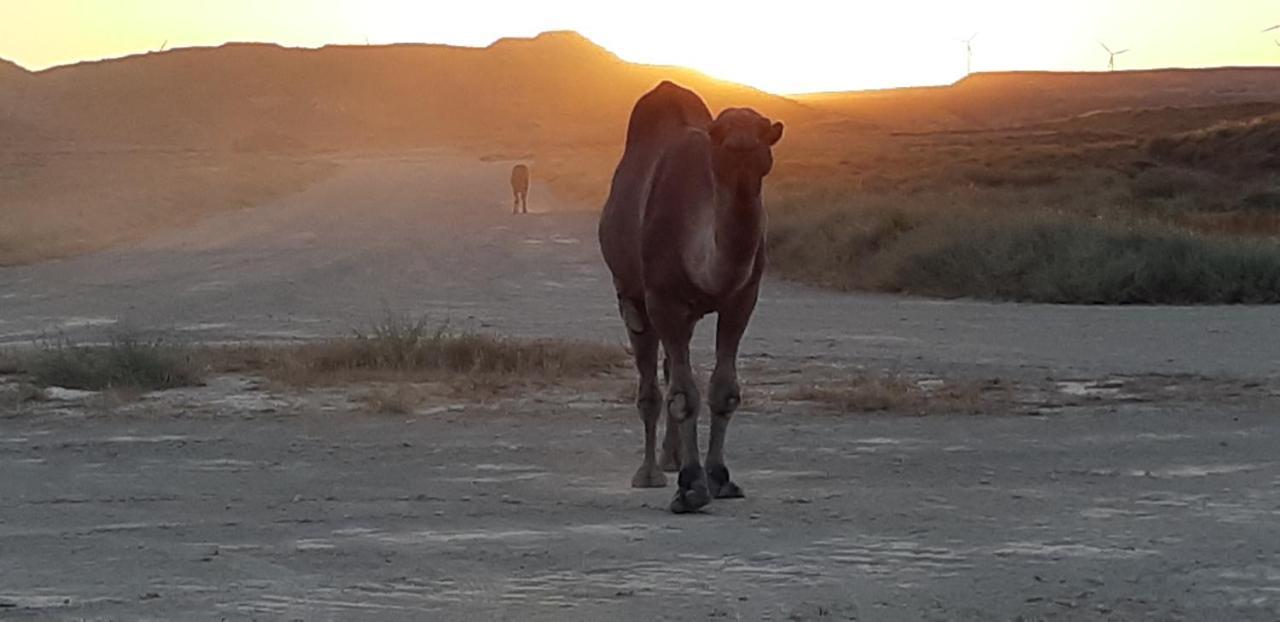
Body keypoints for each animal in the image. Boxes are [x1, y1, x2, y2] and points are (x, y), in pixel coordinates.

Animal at [596, 80, 778, 511]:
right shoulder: (661, 298)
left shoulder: (742, 298)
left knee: (667, 367)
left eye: (765, 130)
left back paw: (673, 457)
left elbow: (723, 390)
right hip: (630, 294)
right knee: (650, 380)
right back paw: (650, 473)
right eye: (721, 132)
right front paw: (692, 486)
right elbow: (683, 395)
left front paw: (722, 478)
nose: (742, 142)